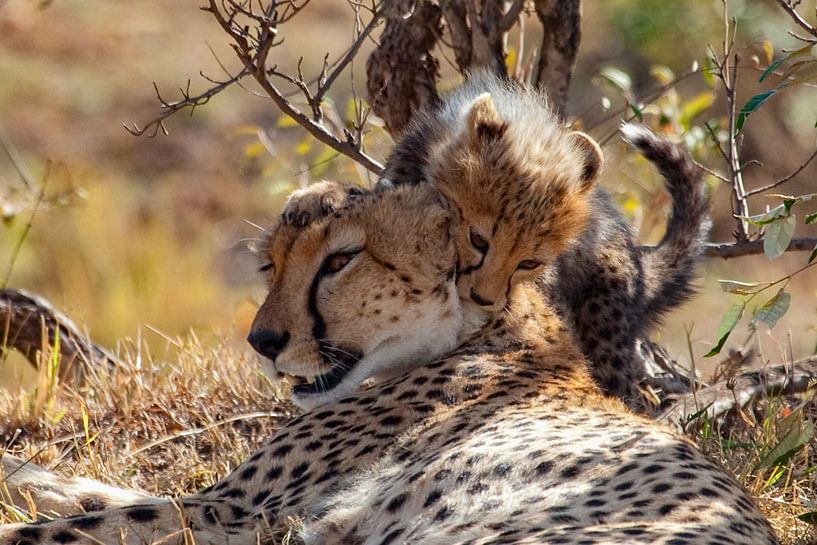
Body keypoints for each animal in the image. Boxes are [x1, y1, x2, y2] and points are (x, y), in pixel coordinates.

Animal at [1, 183, 775, 545]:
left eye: (340, 260)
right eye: (270, 264)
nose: (263, 340)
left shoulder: (239, 510)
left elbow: (74, 522)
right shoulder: (246, 505)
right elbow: (84, 490)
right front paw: (20, 470)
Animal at [280, 71, 711, 414]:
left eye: (529, 263)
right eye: (478, 239)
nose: (483, 299)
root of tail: (637, 259)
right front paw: (317, 196)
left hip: (604, 328)